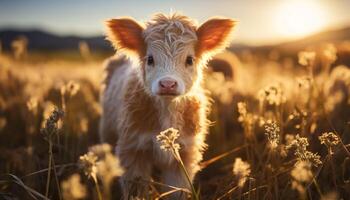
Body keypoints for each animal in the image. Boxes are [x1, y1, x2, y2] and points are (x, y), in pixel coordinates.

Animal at [99, 13, 235, 198]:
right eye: (150, 59)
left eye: (189, 60)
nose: (168, 84)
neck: (167, 108)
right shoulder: (132, 149)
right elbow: (136, 189)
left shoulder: (184, 153)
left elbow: (177, 190)